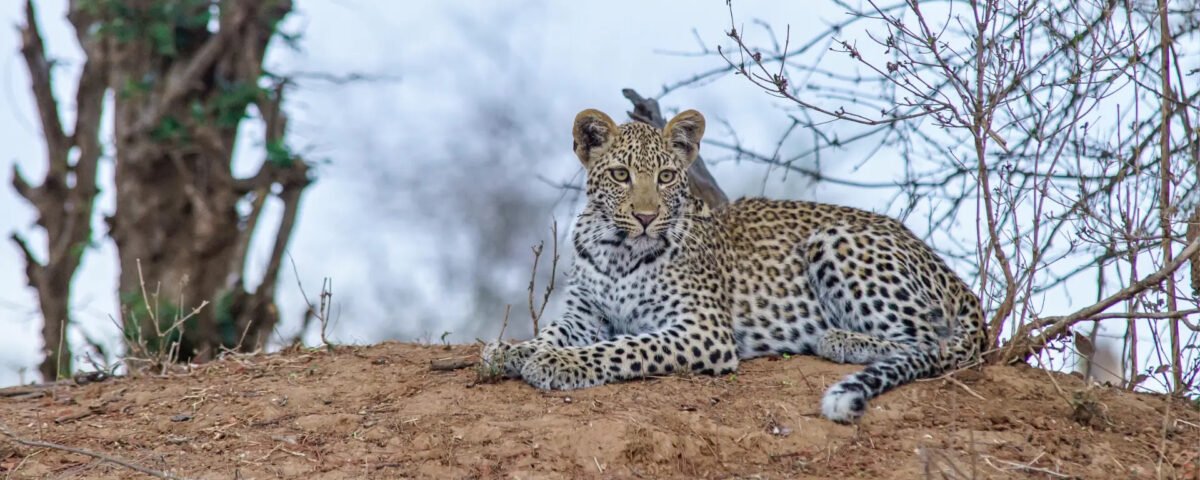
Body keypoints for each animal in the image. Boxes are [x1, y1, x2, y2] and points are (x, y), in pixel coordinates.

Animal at [482, 106, 988, 422]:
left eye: (666, 176)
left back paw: (840, 339)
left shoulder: (701, 329)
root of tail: (952, 275)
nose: (646, 217)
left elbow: (621, 347)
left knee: (935, 345)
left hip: (836, 240)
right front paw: (510, 351)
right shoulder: (585, 313)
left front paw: (558, 362)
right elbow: (549, 332)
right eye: (621, 175)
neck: (618, 249)